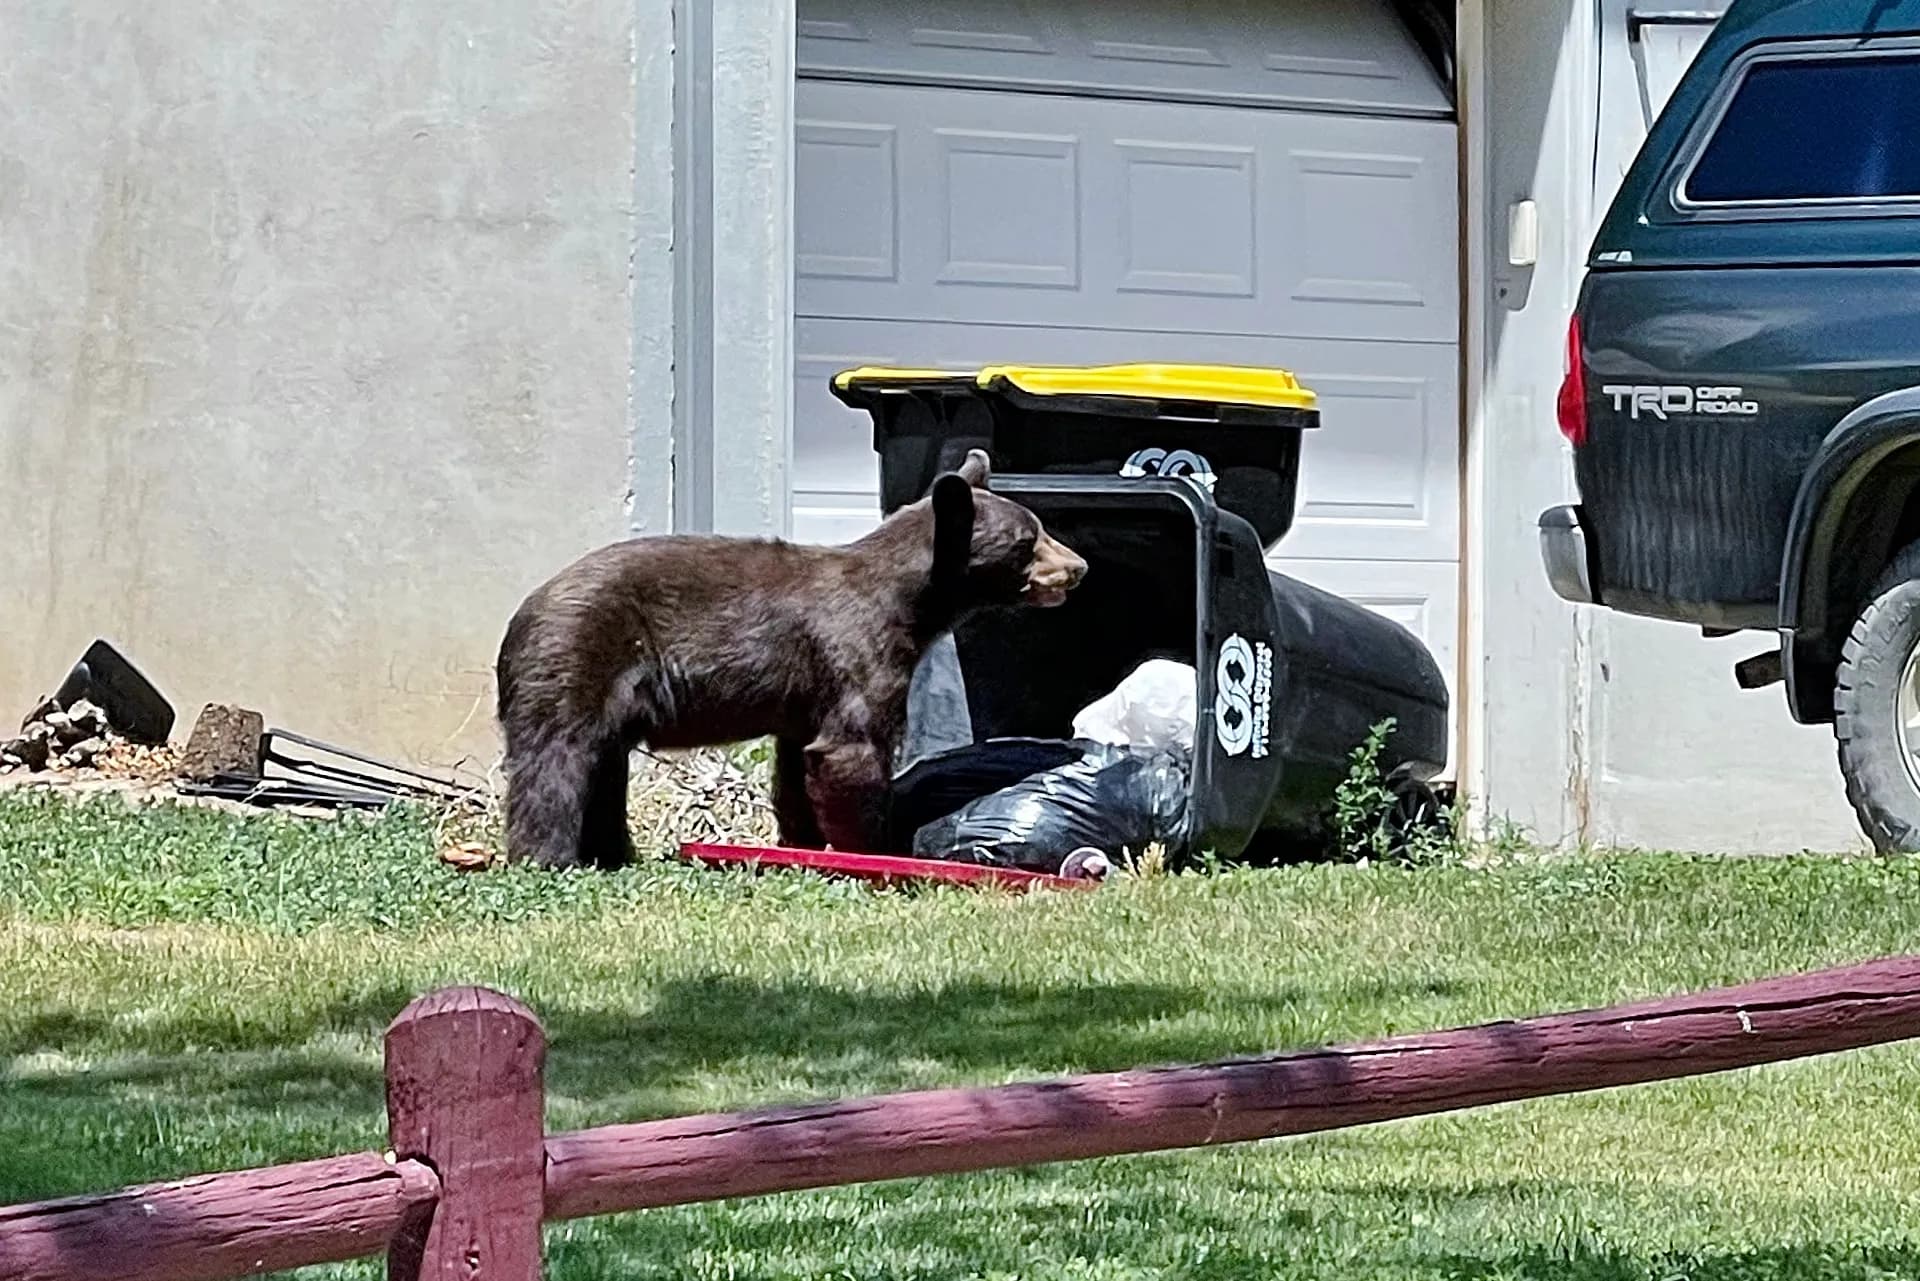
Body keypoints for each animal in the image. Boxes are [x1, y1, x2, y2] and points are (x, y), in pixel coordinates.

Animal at [494, 449, 1087, 869]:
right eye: (1029, 540)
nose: (1079, 566)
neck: (908, 604)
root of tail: (520, 616)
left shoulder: (806, 694)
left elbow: (798, 766)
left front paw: (802, 842)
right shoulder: (857, 652)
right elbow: (851, 750)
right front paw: (874, 851)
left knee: (602, 767)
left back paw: (611, 854)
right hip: (577, 657)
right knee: (558, 762)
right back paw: (549, 857)